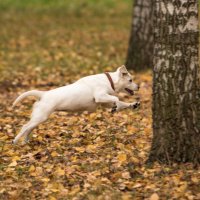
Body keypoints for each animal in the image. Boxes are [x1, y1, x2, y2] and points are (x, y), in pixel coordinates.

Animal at [12, 65, 140, 144]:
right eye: (130, 80)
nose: (138, 86)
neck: (110, 81)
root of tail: (43, 94)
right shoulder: (100, 96)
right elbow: (116, 98)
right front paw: (116, 107)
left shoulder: (104, 102)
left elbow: (121, 102)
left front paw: (132, 104)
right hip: (40, 117)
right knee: (24, 127)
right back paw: (15, 141)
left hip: (38, 118)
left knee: (28, 129)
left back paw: (26, 142)